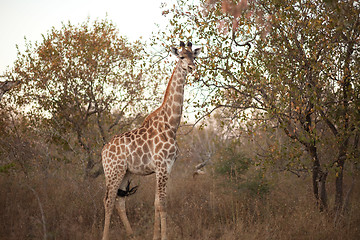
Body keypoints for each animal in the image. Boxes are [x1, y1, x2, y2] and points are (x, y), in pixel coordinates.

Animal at [102, 41, 201, 240]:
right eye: (181, 56)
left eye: (193, 56)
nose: (192, 67)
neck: (171, 125)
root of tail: (103, 151)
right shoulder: (161, 166)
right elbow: (161, 203)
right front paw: (164, 237)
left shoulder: (166, 167)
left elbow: (156, 202)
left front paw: (155, 236)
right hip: (113, 171)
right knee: (108, 200)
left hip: (126, 173)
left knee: (119, 201)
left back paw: (131, 235)